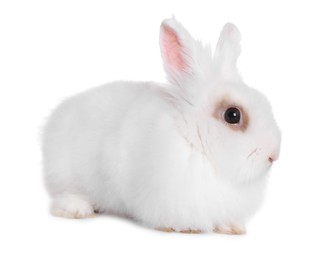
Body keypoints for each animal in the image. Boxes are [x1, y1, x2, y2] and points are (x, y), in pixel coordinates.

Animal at [42, 17, 280, 234]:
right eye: (233, 115)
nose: (273, 155)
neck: (193, 142)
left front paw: (232, 227)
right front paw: (184, 228)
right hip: (66, 175)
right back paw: (78, 209)